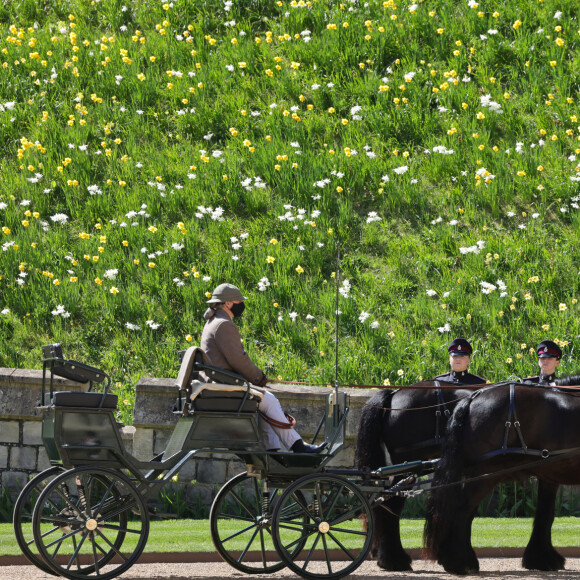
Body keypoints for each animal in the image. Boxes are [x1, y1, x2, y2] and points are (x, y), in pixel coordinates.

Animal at [354, 380, 476, 572]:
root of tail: (392, 396)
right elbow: (465, 509)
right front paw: (461, 559)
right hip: (406, 466)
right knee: (392, 504)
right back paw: (394, 559)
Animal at [424, 380, 580, 576]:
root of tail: (473, 397)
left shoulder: (549, 476)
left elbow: (545, 515)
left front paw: (541, 559)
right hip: (485, 475)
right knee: (462, 511)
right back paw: (461, 563)